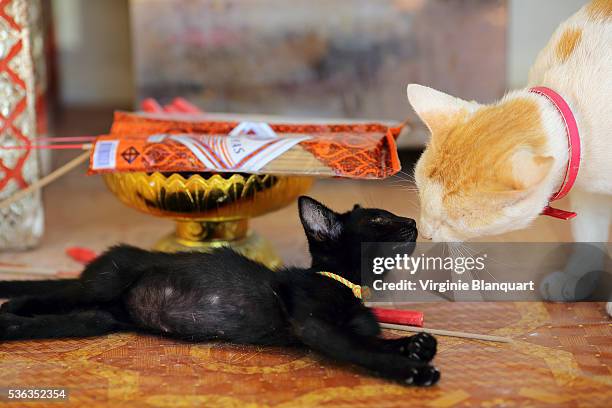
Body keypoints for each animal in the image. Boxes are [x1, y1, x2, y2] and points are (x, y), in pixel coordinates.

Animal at [0, 197, 440, 386]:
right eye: (380, 219)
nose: (414, 222)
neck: (346, 284)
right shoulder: (316, 327)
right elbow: (360, 350)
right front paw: (410, 369)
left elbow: (372, 339)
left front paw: (414, 345)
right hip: (99, 285)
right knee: (35, 298)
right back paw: (8, 311)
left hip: (96, 319)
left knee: (54, 318)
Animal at [408, 0, 608, 314]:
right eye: (419, 195)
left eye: (451, 222)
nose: (425, 233)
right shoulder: (590, 190)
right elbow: (589, 235)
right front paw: (577, 278)